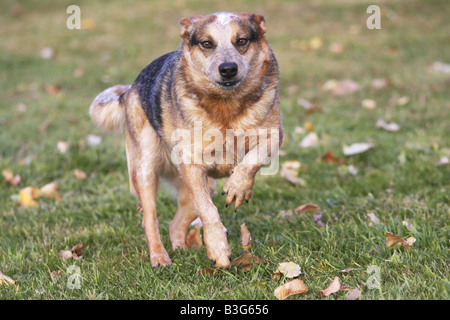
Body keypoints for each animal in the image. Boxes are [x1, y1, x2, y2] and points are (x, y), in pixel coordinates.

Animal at [89, 11, 284, 268]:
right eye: (207, 43)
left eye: (241, 41)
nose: (228, 69)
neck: (225, 107)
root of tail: (130, 89)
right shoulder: (192, 164)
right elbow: (208, 211)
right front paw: (218, 249)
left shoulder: (274, 135)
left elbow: (252, 160)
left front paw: (238, 188)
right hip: (146, 169)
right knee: (149, 218)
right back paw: (160, 258)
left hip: (204, 184)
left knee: (175, 224)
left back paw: (181, 250)